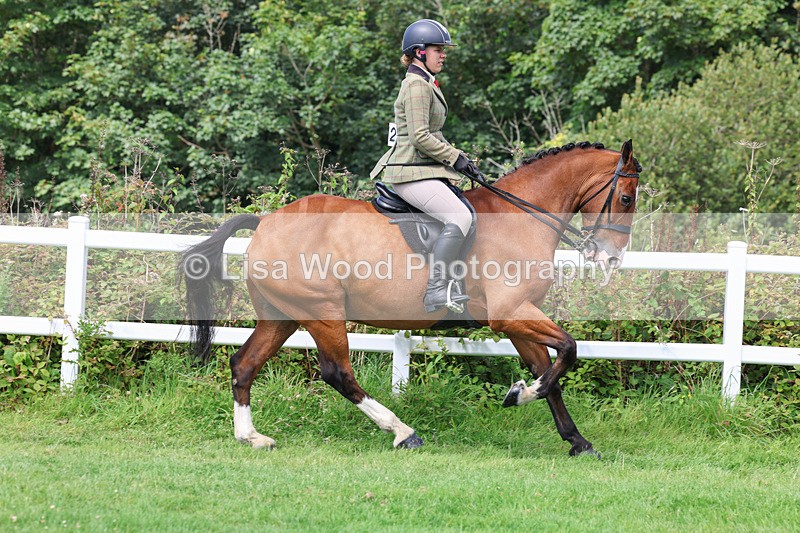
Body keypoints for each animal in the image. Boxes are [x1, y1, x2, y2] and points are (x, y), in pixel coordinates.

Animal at [180, 140, 640, 456]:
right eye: (625, 197)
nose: (611, 259)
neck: (520, 217)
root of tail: (265, 224)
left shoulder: (517, 319)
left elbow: (551, 372)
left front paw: (577, 441)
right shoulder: (510, 314)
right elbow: (568, 351)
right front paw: (520, 395)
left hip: (282, 315)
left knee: (244, 364)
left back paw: (251, 436)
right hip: (322, 312)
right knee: (337, 373)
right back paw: (403, 432)